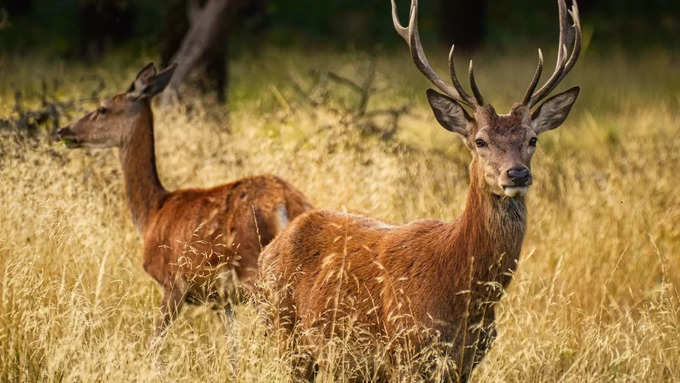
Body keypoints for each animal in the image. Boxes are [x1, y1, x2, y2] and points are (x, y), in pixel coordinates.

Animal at [55, 62, 310, 342]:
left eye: (102, 108)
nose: (63, 130)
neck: (152, 212)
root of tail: (285, 202)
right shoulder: (222, 300)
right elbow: (232, 346)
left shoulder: (173, 282)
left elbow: (155, 341)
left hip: (254, 270)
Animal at [258, 0, 580, 380]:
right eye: (480, 140)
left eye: (532, 139)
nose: (516, 174)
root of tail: (270, 248)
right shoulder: (405, 350)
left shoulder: (467, 361)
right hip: (285, 332)